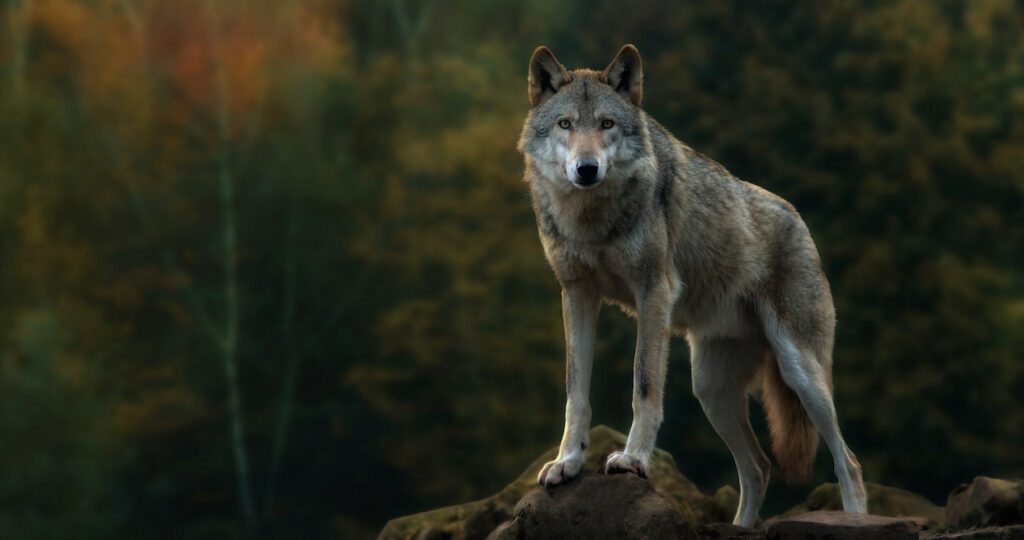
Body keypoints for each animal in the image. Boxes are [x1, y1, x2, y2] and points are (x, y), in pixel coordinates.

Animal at [516, 44, 868, 527]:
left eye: (606, 124)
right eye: (565, 124)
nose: (586, 169)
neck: (591, 220)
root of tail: (800, 222)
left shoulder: (654, 292)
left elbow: (644, 385)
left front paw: (633, 459)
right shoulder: (577, 293)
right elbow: (576, 392)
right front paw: (567, 462)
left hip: (800, 372)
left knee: (847, 461)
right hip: (710, 388)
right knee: (758, 467)